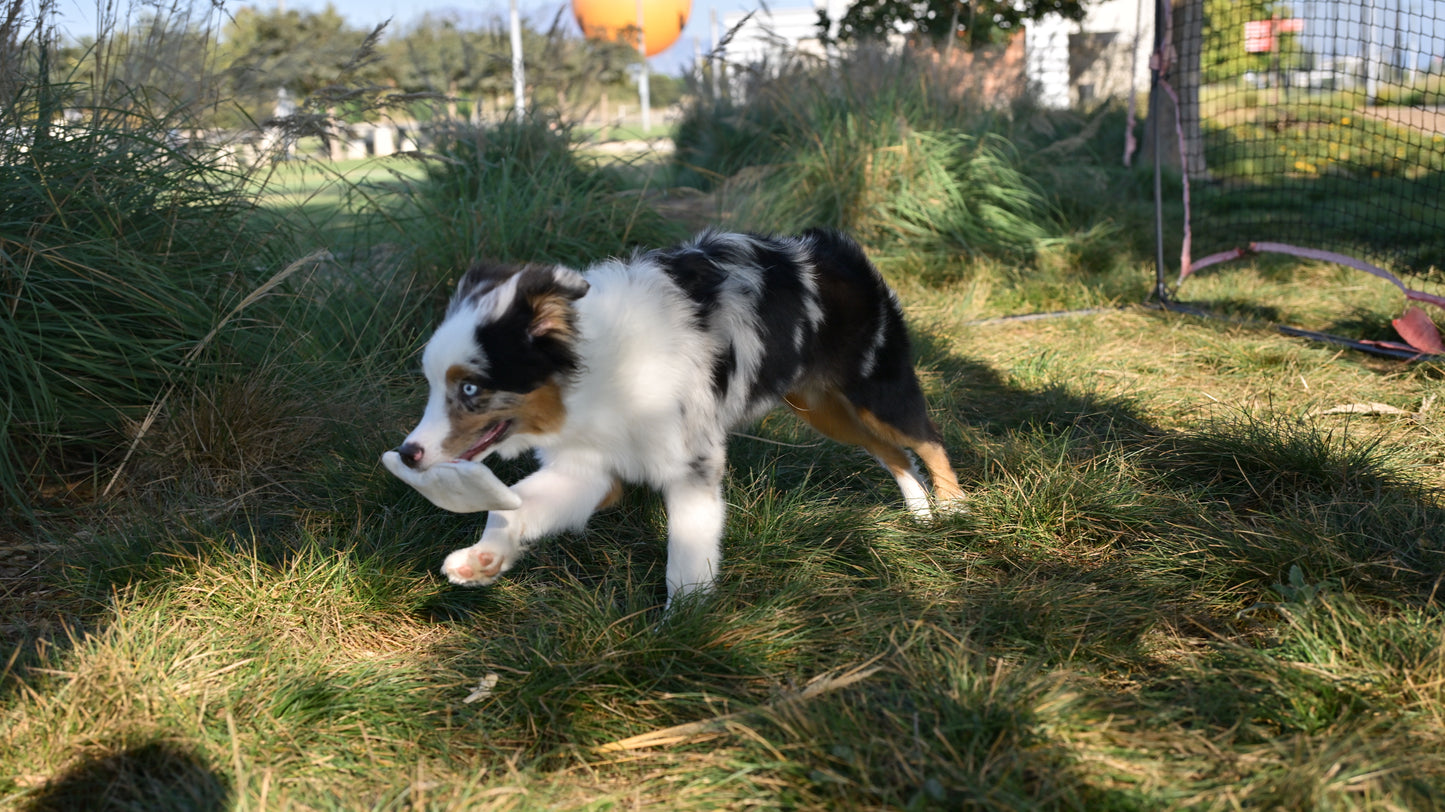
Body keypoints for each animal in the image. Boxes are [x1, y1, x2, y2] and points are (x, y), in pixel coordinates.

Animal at [395, 228, 965, 601]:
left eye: (471, 387)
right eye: (432, 383)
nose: (408, 453)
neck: (600, 371)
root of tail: (832, 245)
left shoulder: (693, 467)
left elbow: (686, 560)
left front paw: (682, 632)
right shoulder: (588, 468)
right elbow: (510, 508)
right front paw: (484, 559)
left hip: (876, 390)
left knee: (927, 438)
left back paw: (956, 513)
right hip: (822, 407)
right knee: (893, 453)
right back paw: (920, 513)